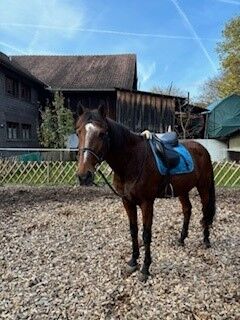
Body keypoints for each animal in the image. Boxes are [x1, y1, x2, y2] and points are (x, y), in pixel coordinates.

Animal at [76, 104, 216, 280]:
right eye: (78, 132)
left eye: (102, 133)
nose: (84, 176)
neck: (131, 160)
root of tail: (202, 149)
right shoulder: (127, 202)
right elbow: (133, 231)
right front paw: (133, 261)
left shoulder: (146, 203)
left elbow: (146, 234)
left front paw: (145, 269)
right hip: (182, 190)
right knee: (187, 210)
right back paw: (181, 239)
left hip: (203, 187)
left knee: (205, 210)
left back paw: (206, 240)